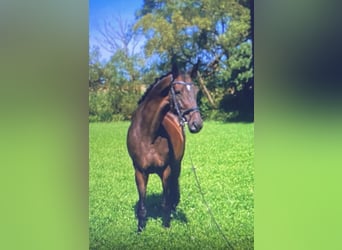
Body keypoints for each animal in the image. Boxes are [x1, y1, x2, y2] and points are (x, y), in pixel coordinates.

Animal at [127, 63, 203, 231]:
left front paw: (166, 226)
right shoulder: (139, 172)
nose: (197, 124)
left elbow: (165, 202)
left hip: (177, 165)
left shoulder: (166, 171)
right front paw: (140, 229)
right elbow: (142, 206)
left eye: (196, 92)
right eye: (178, 91)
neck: (148, 136)